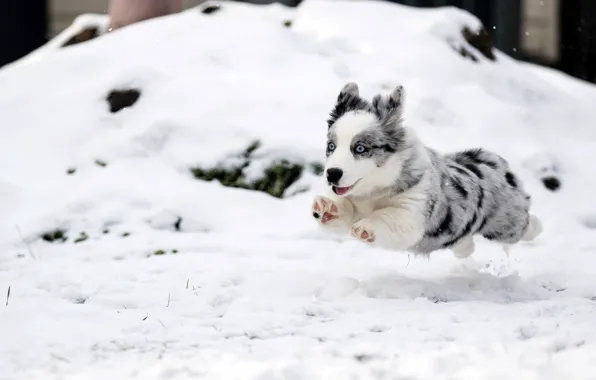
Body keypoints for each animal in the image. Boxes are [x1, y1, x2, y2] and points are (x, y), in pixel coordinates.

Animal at [314, 81, 544, 256]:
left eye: (360, 148)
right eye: (331, 146)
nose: (332, 174)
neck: (374, 190)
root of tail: (495, 162)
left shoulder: (412, 211)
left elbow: (388, 217)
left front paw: (366, 227)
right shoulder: (353, 203)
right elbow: (343, 210)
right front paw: (326, 207)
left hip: (506, 223)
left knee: (525, 225)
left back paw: (537, 226)